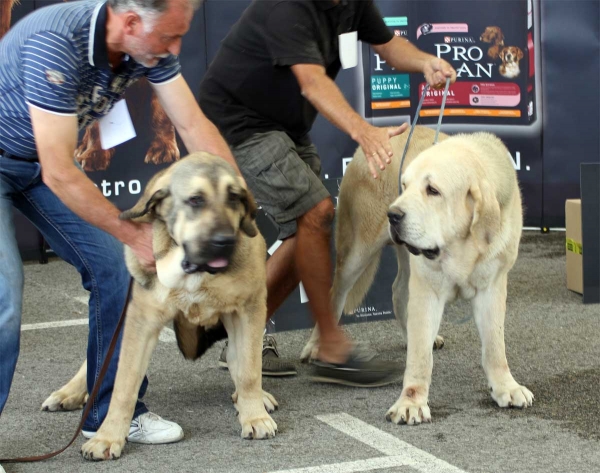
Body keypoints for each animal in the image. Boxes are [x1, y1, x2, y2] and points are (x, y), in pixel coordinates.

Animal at [42, 151, 276, 458]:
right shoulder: (141, 321)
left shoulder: (248, 309)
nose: (225, 241)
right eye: (195, 200)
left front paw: (254, 415)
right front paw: (107, 436)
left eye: (235, 197)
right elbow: (124, 385)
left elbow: (249, 369)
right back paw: (69, 392)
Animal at [302, 125, 532, 424]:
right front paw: (410, 402)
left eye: (433, 190)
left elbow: (495, 346)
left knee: (398, 292)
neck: (460, 245)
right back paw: (317, 346)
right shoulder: (428, 288)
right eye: (405, 185)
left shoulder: (491, 286)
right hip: (356, 253)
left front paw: (506, 387)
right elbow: (420, 358)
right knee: (334, 295)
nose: (393, 214)